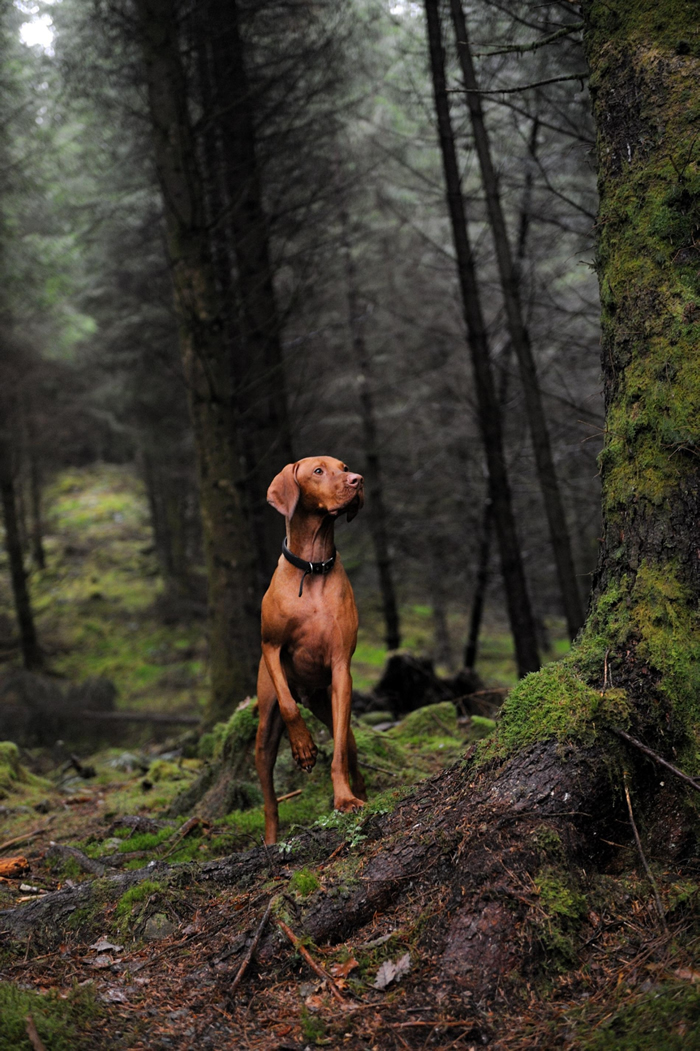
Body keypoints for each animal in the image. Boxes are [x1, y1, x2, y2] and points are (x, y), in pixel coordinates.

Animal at [255, 458, 365, 845]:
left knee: (350, 752)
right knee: (269, 800)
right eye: (318, 471)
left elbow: (338, 756)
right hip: (263, 733)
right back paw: (271, 839)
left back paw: (360, 794)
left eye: (344, 466)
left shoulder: (340, 669)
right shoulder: (270, 647)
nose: (358, 479)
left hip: (331, 709)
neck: (314, 568)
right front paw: (303, 747)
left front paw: (344, 800)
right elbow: (289, 707)